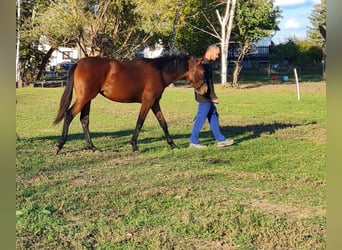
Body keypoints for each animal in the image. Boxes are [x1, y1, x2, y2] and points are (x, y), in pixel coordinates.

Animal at [53, 54, 206, 153]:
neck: (160, 72)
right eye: (203, 73)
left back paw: (92, 147)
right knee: (69, 115)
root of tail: (79, 62)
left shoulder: (155, 102)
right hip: (84, 98)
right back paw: (59, 145)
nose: (204, 91)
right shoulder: (148, 101)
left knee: (84, 120)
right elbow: (140, 122)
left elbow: (163, 123)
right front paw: (134, 146)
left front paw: (172, 145)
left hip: (87, 99)